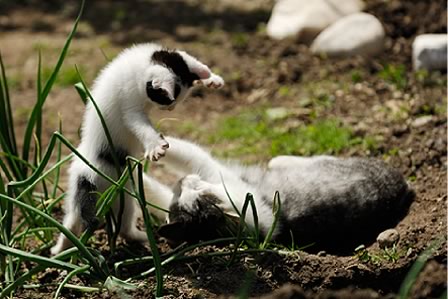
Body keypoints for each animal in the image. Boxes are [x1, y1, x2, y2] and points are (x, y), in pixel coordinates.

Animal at [50, 44, 224, 255]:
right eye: (166, 101)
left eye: (177, 101)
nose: (171, 110)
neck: (142, 65)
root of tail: (86, 174)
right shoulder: (129, 106)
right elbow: (140, 125)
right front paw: (155, 146)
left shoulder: (168, 55)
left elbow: (188, 58)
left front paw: (212, 78)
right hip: (111, 194)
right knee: (117, 227)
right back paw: (141, 237)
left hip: (110, 196)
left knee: (72, 222)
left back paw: (60, 249)